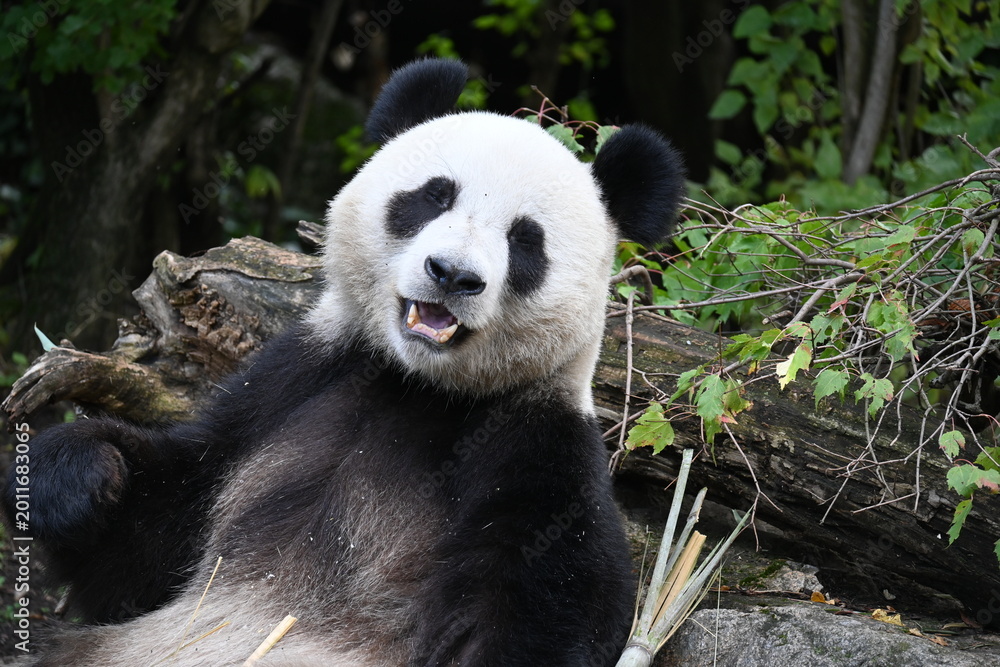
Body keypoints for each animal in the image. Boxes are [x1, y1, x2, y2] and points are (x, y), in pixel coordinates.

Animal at [4, 59, 684, 666]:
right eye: (433, 196)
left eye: (526, 240)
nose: (452, 275)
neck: (419, 385)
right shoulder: (295, 380)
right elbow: (154, 536)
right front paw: (77, 471)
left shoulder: (537, 444)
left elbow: (548, 606)